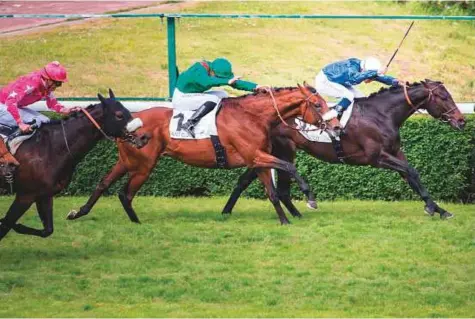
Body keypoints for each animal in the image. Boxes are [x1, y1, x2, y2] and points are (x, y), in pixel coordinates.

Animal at [0, 90, 149, 242]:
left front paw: (17, 226)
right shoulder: (26, 195)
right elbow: (6, 224)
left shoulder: (44, 194)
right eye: (119, 115)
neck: (50, 148)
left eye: (128, 111)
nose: (144, 137)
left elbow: (47, 230)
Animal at [69, 84, 340, 225]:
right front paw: (310, 198)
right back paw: (135, 222)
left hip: (126, 160)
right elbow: (290, 167)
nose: (337, 127)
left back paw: (79, 212)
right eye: (318, 104)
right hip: (144, 165)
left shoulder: (258, 158)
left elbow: (272, 192)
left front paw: (284, 221)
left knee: (103, 183)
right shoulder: (256, 155)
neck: (252, 116)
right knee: (125, 193)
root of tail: (129, 123)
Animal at [222, 80, 464, 220]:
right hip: (280, 151)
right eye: (444, 97)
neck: (382, 114)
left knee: (251, 181)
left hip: (271, 152)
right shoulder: (377, 157)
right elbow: (412, 171)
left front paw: (439, 209)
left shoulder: (395, 153)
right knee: (272, 185)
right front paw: (432, 208)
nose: (461, 121)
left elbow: (412, 176)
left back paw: (228, 211)